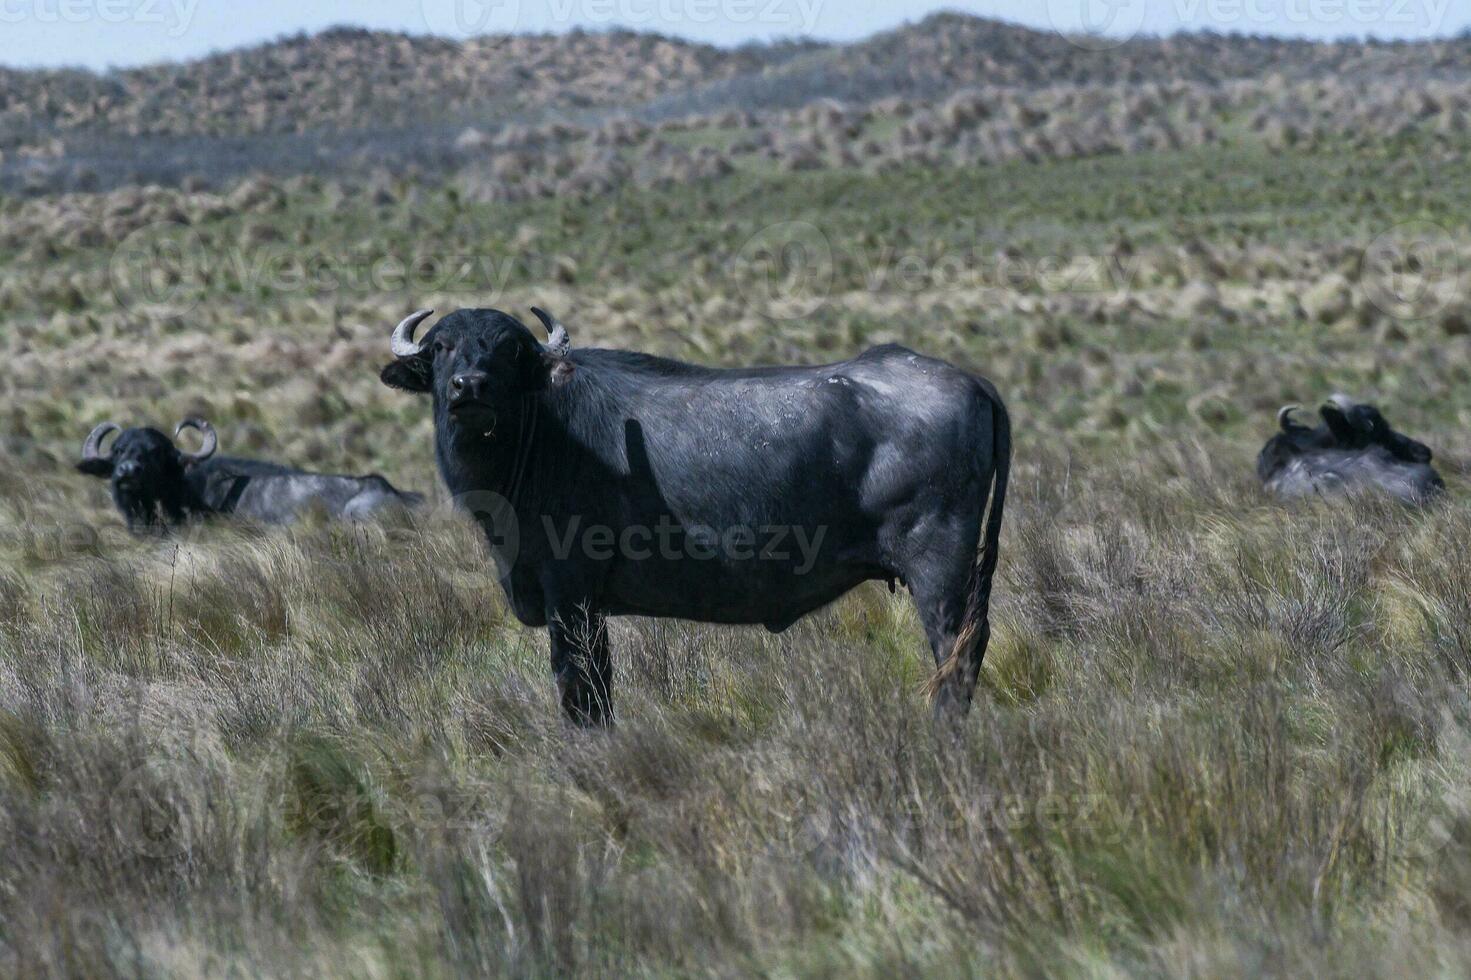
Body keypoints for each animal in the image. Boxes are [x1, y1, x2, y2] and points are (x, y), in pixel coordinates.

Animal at [379, 307, 1012, 723]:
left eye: (509, 349)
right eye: (441, 347)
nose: (470, 387)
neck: (543, 436)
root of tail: (972, 380)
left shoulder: (572, 596)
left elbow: (581, 692)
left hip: (939, 569)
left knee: (956, 655)